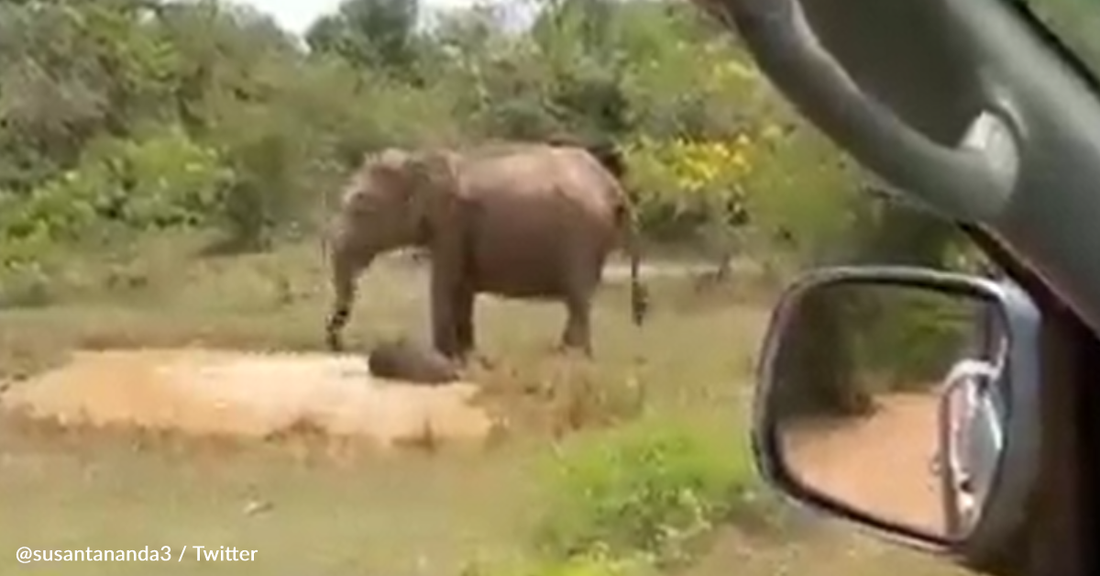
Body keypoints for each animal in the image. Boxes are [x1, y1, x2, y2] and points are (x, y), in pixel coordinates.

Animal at [321, 137, 646, 358]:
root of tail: (615, 187)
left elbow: (444, 285)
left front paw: (444, 358)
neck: (421, 159)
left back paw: (569, 358)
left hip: (581, 239)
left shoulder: (452, 224)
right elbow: (462, 288)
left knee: (578, 300)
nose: (338, 345)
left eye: (361, 209)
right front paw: (467, 357)